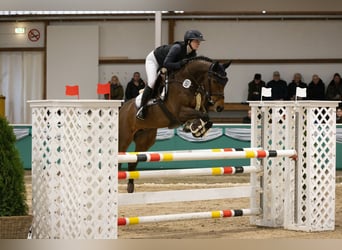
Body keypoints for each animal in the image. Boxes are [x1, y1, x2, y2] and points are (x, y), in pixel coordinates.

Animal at [118, 57, 230, 193]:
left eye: (225, 82)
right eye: (214, 80)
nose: (220, 107)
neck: (187, 83)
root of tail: (122, 108)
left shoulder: (198, 108)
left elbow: (206, 117)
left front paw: (196, 129)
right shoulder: (180, 112)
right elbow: (204, 116)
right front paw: (196, 128)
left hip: (145, 139)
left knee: (134, 161)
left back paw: (130, 187)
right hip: (124, 138)